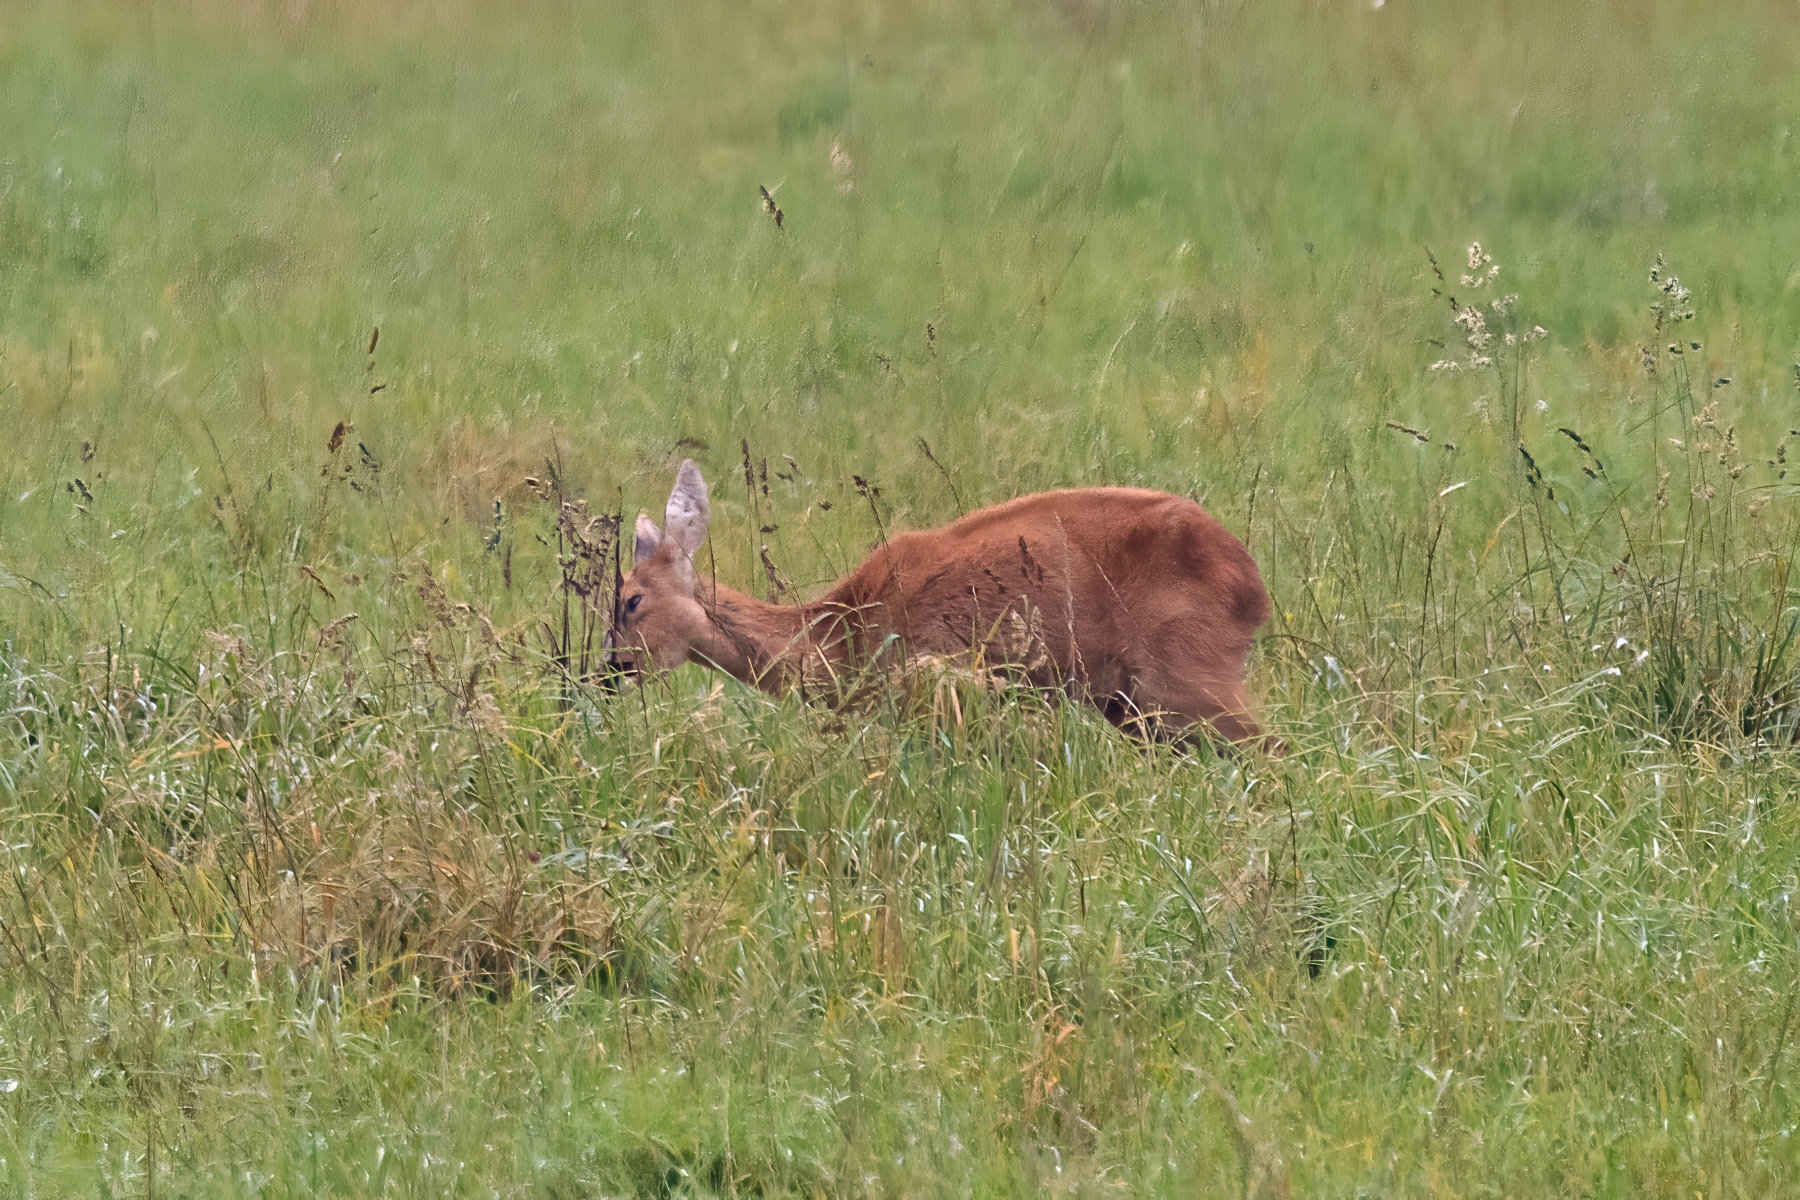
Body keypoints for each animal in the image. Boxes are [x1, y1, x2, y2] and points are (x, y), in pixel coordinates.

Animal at [607, 459, 1275, 750]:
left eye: (630, 601)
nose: (609, 671)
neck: (837, 637)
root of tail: (1254, 588)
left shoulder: (944, 681)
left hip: (1187, 677)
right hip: (1136, 706)